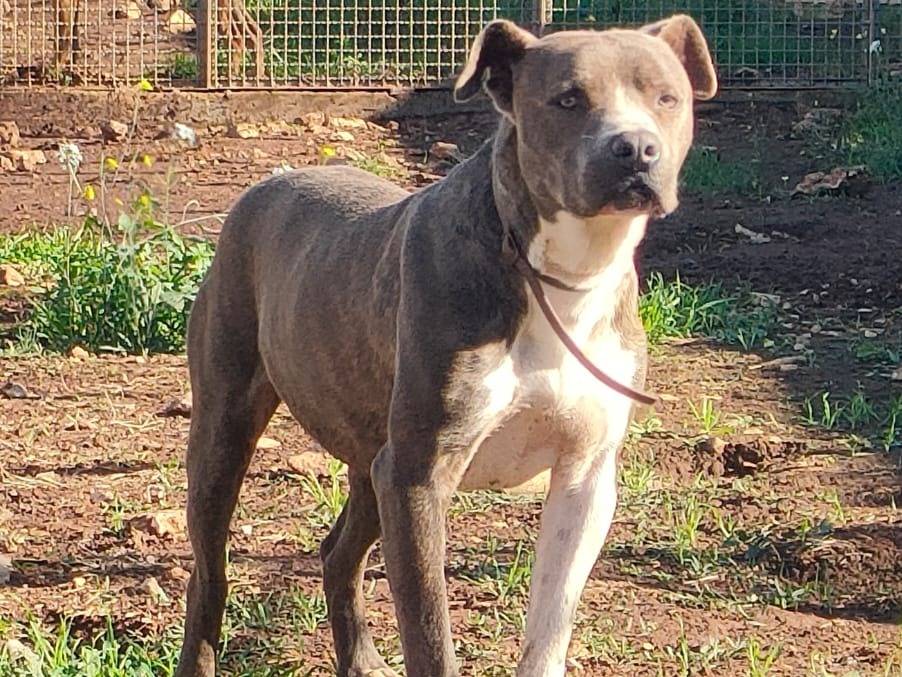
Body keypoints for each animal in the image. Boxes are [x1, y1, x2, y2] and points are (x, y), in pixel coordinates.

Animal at [175, 17, 712, 676]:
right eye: (568, 99)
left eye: (667, 97)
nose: (635, 148)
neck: (561, 275)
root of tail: (269, 183)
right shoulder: (419, 477)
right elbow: (430, 637)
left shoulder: (584, 478)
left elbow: (549, 625)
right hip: (226, 430)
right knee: (210, 573)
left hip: (372, 457)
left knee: (337, 552)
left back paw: (359, 659)